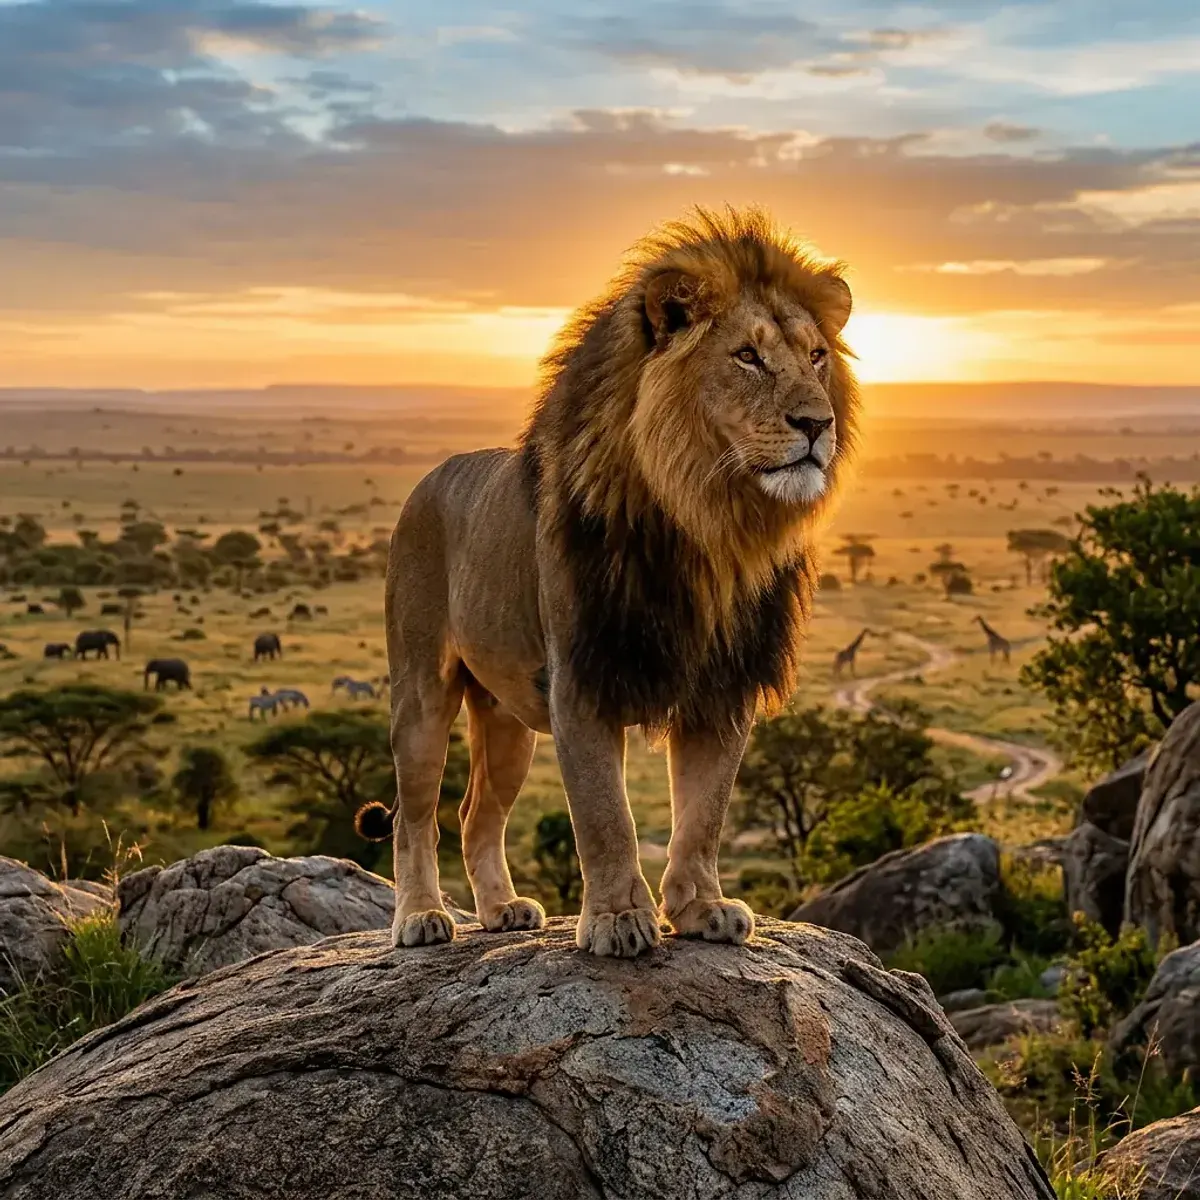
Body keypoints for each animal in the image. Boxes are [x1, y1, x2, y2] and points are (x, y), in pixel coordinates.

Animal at [355, 206, 859, 957]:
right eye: (748, 356)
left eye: (817, 356)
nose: (818, 424)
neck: (707, 524)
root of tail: (432, 475)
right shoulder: (583, 679)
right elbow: (605, 815)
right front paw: (619, 919)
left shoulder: (723, 686)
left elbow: (704, 812)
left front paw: (701, 907)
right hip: (420, 692)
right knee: (417, 815)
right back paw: (420, 917)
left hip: (506, 720)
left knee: (477, 812)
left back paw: (502, 910)